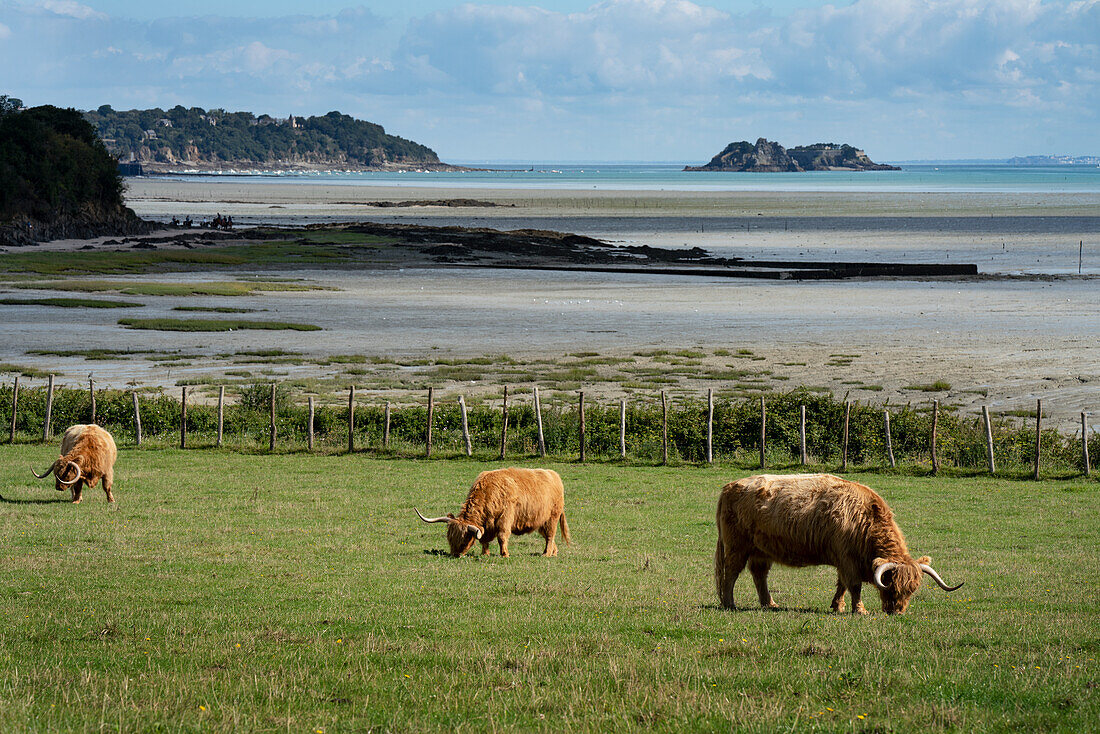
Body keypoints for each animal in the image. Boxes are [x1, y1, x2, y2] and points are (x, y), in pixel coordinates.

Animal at [413, 468, 576, 559]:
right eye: (449, 538)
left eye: (464, 540)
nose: (455, 555)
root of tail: (553, 474)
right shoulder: (486, 525)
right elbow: (484, 539)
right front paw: (485, 554)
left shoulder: (505, 518)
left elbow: (502, 536)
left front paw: (505, 554)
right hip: (540, 521)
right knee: (549, 537)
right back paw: (553, 552)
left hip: (552, 517)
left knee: (550, 535)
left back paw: (546, 554)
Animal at [712, 477, 963, 616]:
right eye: (891, 586)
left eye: (912, 589)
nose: (897, 611)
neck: (865, 520)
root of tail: (729, 486)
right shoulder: (847, 559)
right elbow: (854, 586)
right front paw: (859, 610)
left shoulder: (844, 561)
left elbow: (842, 585)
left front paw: (838, 606)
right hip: (736, 546)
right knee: (731, 573)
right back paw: (729, 604)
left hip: (761, 550)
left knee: (759, 574)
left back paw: (770, 604)